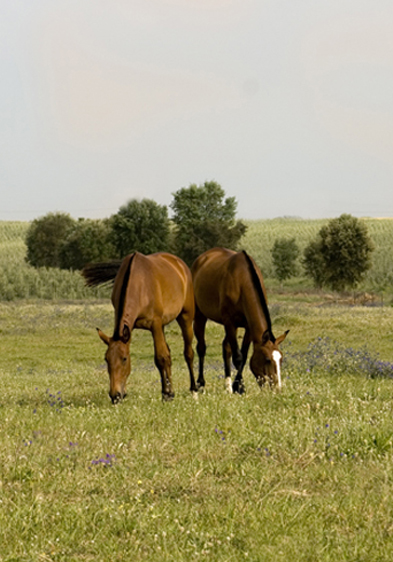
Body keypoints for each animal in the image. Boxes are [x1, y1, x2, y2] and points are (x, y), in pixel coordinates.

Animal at [84, 252, 198, 400]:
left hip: (185, 317)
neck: (139, 284)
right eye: (106, 359)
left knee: (188, 353)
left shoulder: (155, 324)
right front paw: (167, 392)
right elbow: (164, 357)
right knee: (169, 354)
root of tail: (180, 264)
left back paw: (194, 390)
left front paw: (167, 394)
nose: (115, 395)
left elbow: (160, 357)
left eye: (124, 359)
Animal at [191, 247, 288, 392]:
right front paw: (239, 387)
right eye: (267, 359)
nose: (277, 387)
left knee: (226, 348)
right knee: (202, 348)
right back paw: (201, 384)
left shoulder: (248, 327)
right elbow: (238, 357)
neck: (242, 282)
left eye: (280, 359)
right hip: (200, 316)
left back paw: (227, 387)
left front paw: (236, 386)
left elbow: (244, 355)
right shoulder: (229, 322)